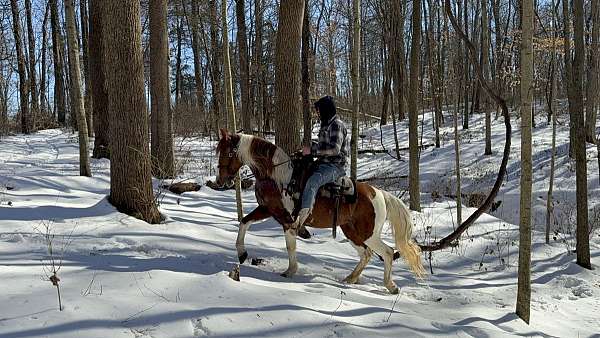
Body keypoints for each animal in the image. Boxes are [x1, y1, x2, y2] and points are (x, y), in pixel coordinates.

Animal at [214, 129, 422, 294]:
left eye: (227, 152)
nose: (220, 180)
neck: (277, 176)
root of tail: (378, 194)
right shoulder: (268, 209)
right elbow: (244, 222)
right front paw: (242, 253)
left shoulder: (287, 219)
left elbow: (290, 246)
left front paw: (289, 271)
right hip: (351, 231)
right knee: (366, 253)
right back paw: (351, 278)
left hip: (367, 233)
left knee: (387, 252)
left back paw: (390, 286)